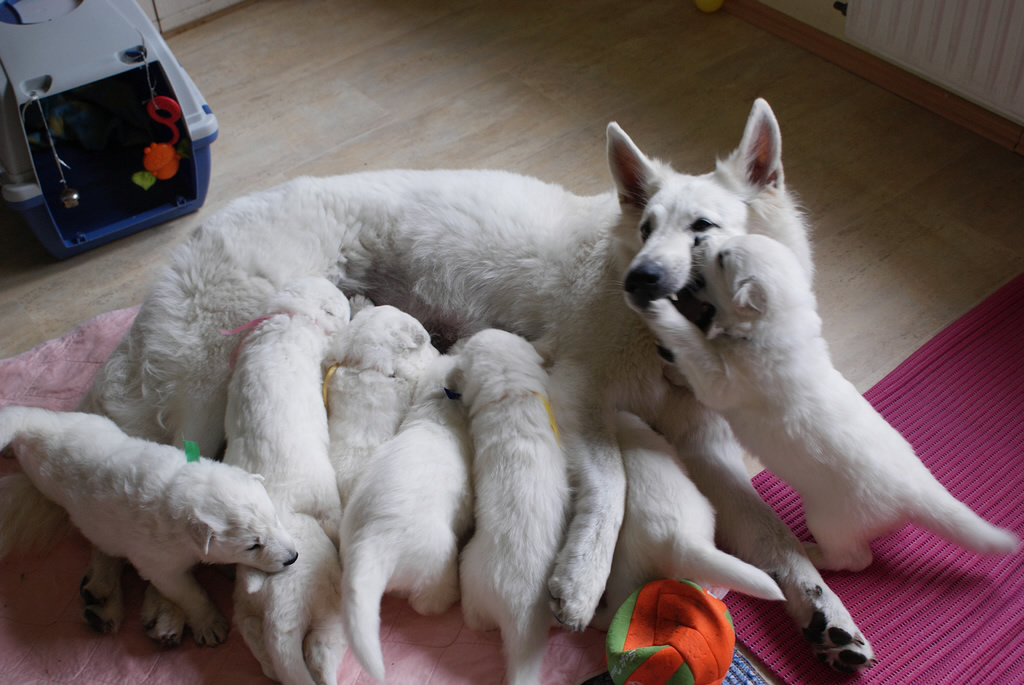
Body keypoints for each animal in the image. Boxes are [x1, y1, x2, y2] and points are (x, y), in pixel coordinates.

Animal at [0, 405, 297, 646]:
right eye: (252, 546)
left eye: (275, 518)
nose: (293, 557)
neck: (179, 495)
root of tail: (38, 425)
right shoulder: (160, 565)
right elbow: (190, 593)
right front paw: (210, 623)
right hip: (47, 480)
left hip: (95, 424)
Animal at [220, 276, 352, 685]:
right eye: (341, 303)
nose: (346, 291)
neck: (291, 314)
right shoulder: (326, 348)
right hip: (328, 607)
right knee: (322, 651)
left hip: (245, 605)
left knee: (254, 638)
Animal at [633, 233, 1019, 574]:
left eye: (723, 259)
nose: (698, 239)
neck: (777, 328)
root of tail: (915, 489)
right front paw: (674, 372)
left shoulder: (726, 382)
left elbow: (696, 350)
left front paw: (662, 313)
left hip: (830, 518)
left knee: (855, 559)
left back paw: (811, 552)